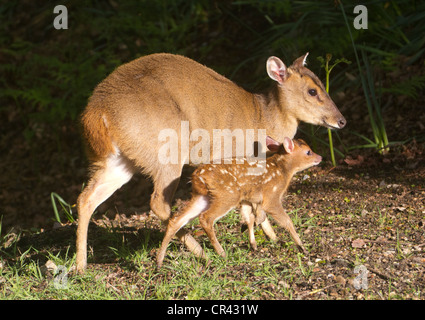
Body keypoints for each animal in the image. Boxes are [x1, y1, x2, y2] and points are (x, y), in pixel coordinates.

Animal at [157, 136, 322, 268]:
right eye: (308, 152)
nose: (320, 157)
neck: (281, 172)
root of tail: (198, 177)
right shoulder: (271, 196)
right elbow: (286, 221)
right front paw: (301, 246)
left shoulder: (247, 199)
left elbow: (250, 218)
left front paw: (254, 244)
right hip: (227, 195)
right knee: (206, 218)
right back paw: (221, 253)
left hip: (202, 197)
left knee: (176, 219)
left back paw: (159, 261)